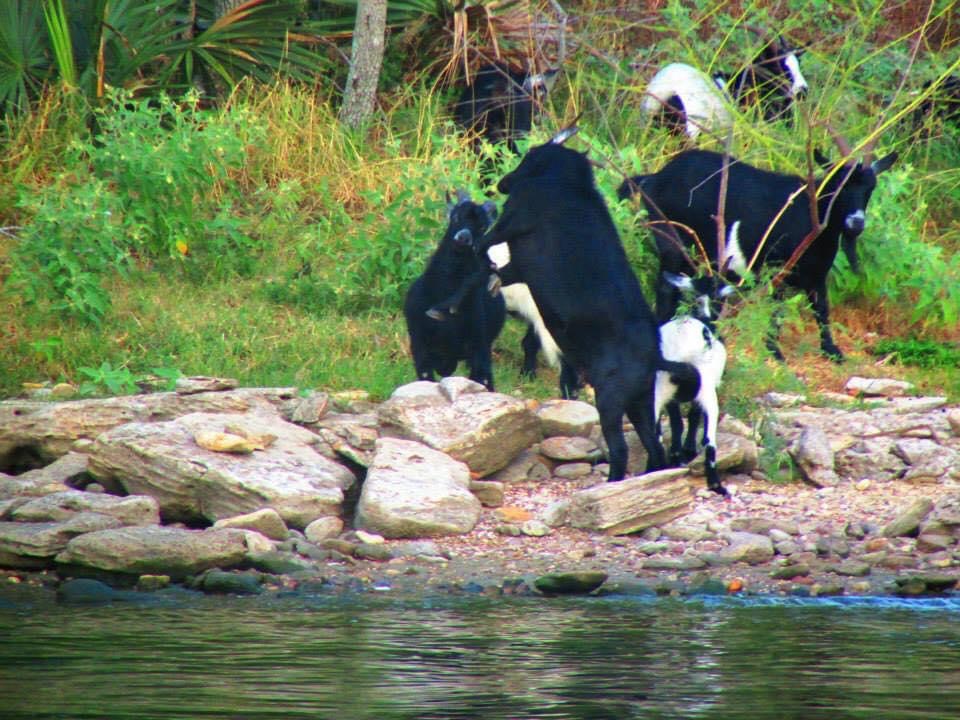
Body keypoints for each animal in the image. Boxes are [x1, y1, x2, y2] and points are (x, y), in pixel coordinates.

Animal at [404, 191, 506, 390]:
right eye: (456, 216)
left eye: (483, 225)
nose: (463, 238)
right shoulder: (419, 345)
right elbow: (426, 377)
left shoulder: (480, 346)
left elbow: (484, 379)